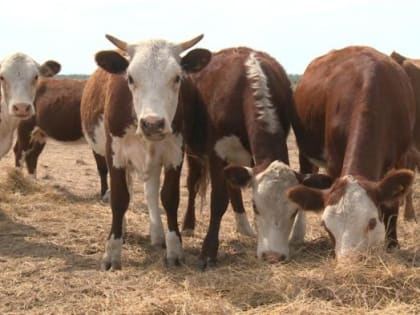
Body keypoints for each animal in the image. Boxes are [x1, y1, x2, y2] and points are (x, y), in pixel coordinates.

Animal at [81, 34, 213, 272]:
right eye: (130, 78)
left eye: (177, 78)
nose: (153, 124)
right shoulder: (115, 154)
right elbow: (119, 198)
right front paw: (112, 251)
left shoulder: (174, 153)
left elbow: (169, 198)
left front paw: (174, 249)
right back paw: (124, 230)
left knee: (151, 192)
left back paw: (157, 235)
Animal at [288, 45, 416, 262]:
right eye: (326, 227)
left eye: (372, 222)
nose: (350, 262)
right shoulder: (333, 161)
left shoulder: (402, 156)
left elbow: (392, 204)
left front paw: (392, 244)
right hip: (304, 151)